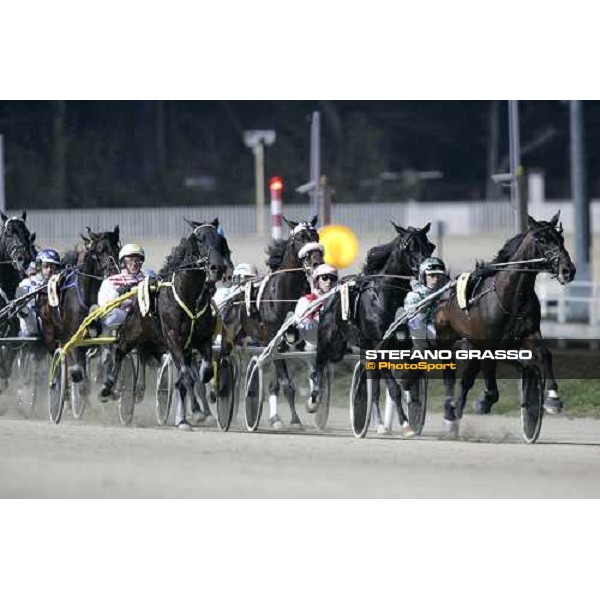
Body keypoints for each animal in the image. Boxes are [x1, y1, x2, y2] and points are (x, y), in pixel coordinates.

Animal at [99, 218, 231, 424]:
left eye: (221, 241)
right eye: (200, 240)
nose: (217, 268)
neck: (188, 296)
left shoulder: (201, 339)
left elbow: (204, 372)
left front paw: (207, 398)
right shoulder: (172, 338)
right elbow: (186, 375)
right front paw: (195, 410)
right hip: (131, 334)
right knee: (119, 353)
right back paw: (108, 388)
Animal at [219, 214, 324, 426]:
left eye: (316, 235)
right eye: (300, 237)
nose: (317, 261)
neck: (285, 295)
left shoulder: (294, 343)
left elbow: (311, 371)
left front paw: (312, 403)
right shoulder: (273, 338)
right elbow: (286, 384)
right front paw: (295, 421)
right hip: (230, 336)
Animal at [312, 220, 434, 432]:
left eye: (428, 245)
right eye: (408, 247)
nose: (425, 271)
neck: (388, 297)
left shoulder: (403, 345)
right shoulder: (380, 347)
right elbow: (393, 388)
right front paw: (405, 423)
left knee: (374, 388)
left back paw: (380, 424)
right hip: (332, 343)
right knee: (320, 362)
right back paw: (314, 399)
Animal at [436, 213, 576, 424]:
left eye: (561, 239)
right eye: (542, 240)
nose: (568, 270)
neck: (509, 296)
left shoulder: (528, 331)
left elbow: (544, 354)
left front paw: (553, 399)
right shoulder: (488, 345)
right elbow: (492, 391)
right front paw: (483, 401)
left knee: (467, 379)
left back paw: (456, 412)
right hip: (447, 337)